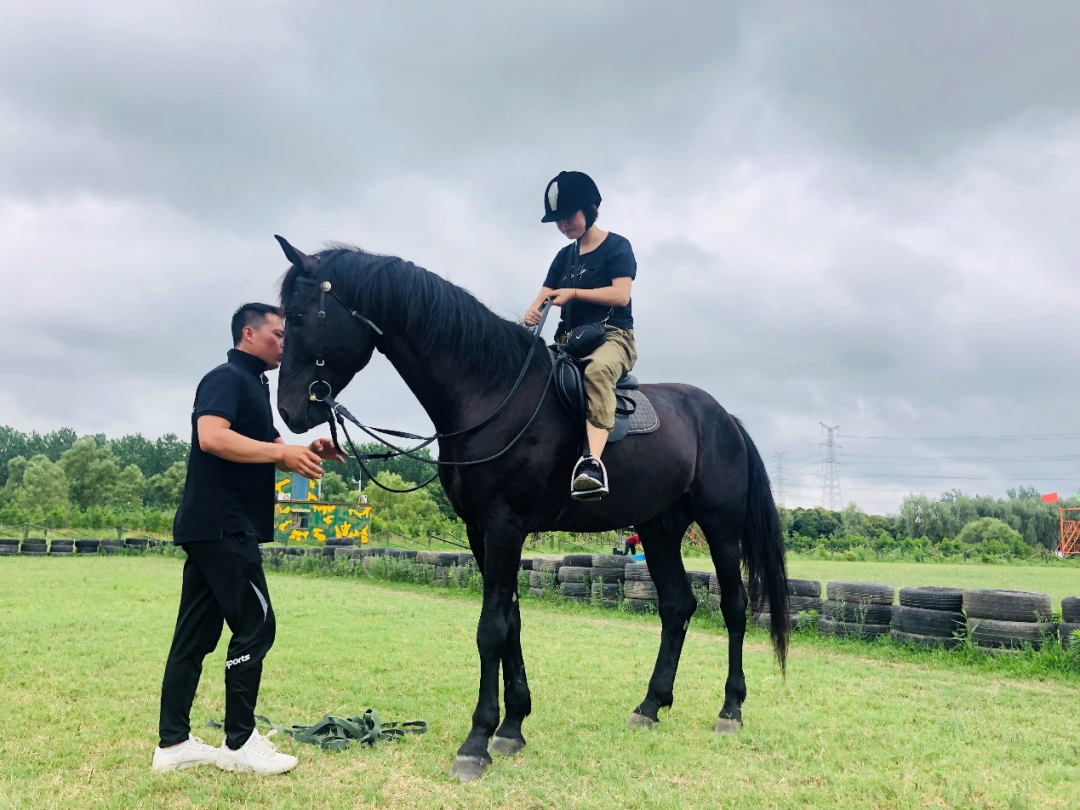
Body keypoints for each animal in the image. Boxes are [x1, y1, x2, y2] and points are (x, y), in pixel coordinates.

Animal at [273, 237, 790, 781]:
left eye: (302, 316)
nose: (290, 410)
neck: (492, 393)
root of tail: (723, 417)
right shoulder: (481, 530)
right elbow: (512, 622)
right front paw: (512, 725)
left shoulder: (505, 525)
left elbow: (491, 629)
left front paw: (477, 741)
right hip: (659, 530)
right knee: (677, 606)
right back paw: (650, 705)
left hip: (720, 527)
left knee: (734, 607)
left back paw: (730, 709)